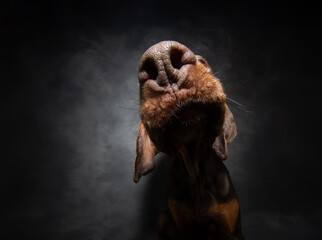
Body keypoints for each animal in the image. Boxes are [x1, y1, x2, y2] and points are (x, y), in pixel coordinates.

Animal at [132, 40, 243, 239]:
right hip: (162, 218)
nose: (162, 61)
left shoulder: (232, 230)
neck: (196, 177)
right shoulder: (184, 227)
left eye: (203, 62)